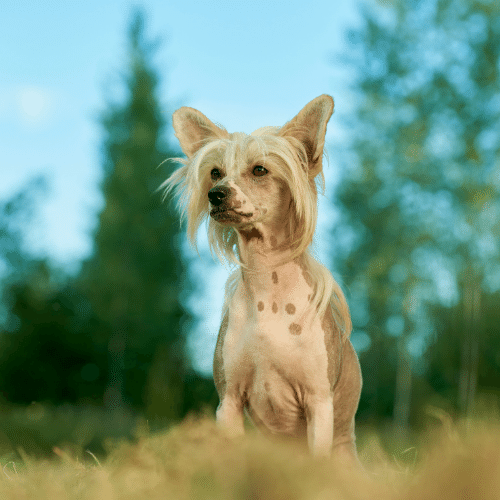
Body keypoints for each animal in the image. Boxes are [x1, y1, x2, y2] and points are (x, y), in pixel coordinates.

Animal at [162, 94, 362, 460]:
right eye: (215, 173)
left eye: (259, 170)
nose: (216, 194)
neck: (266, 287)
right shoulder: (228, 402)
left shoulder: (319, 404)